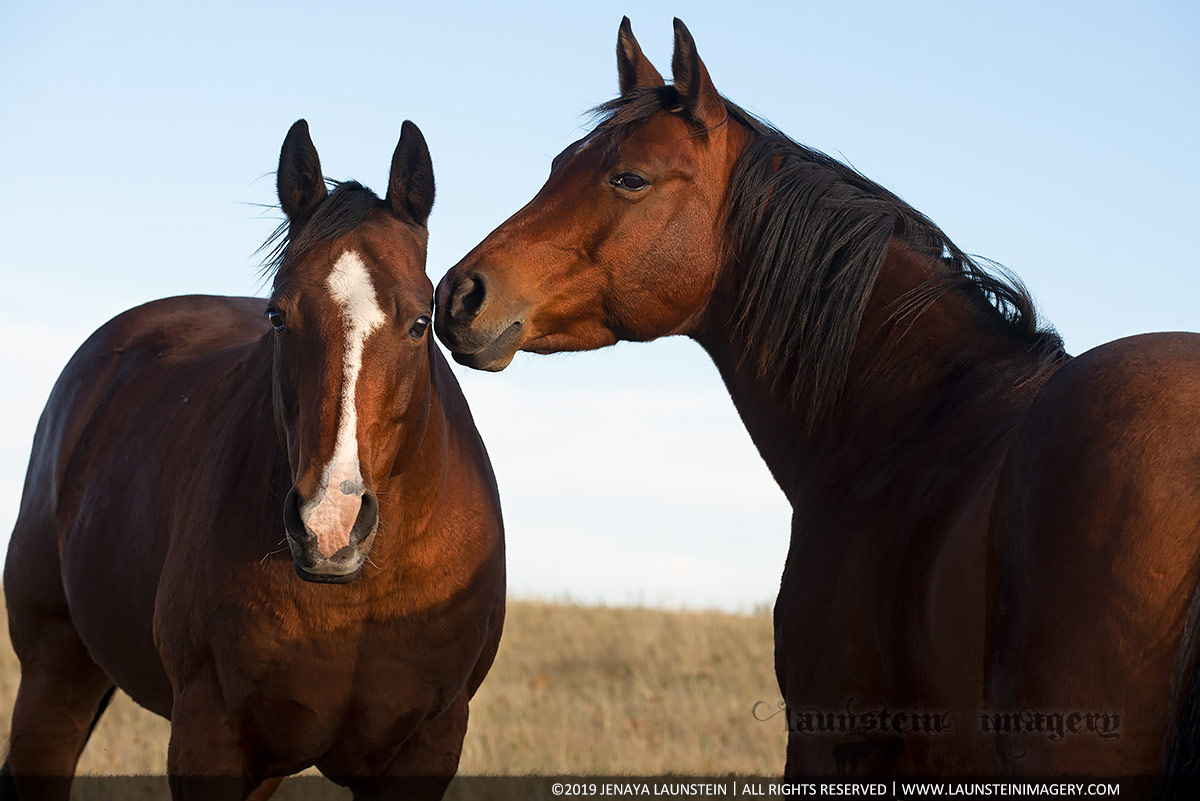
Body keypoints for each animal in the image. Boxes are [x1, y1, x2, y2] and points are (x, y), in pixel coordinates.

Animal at [3, 119, 505, 800]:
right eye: (277, 316)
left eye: (419, 322)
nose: (329, 527)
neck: (359, 598)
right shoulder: (208, 737)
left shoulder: (425, 750)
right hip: (53, 677)